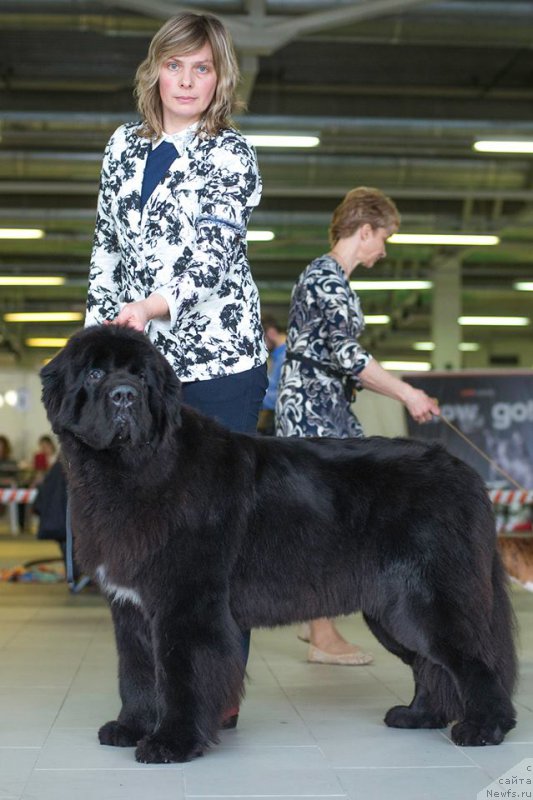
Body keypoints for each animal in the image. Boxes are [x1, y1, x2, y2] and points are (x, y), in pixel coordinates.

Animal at [40, 325, 517, 763]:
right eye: (96, 373)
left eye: (142, 377)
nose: (124, 396)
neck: (132, 469)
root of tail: (464, 471)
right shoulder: (132, 607)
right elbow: (136, 672)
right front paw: (130, 727)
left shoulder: (185, 603)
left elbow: (180, 675)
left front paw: (170, 742)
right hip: (391, 610)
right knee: (428, 663)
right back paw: (418, 716)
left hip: (427, 601)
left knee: (476, 659)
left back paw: (484, 727)